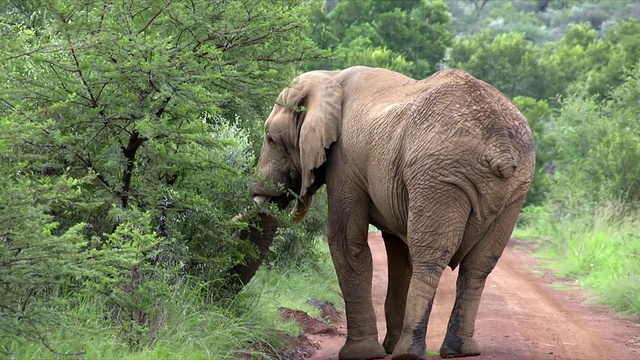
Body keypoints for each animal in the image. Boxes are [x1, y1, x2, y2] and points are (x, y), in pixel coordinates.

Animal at [250, 66, 536, 358]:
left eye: (270, 138)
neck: (331, 77)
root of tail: (499, 146)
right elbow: (399, 255)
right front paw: (383, 347)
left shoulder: (344, 161)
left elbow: (346, 243)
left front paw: (362, 353)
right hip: (515, 189)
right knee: (479, 264)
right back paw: (460, 350)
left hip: (438, 176)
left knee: (429, 257)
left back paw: (409, 352)